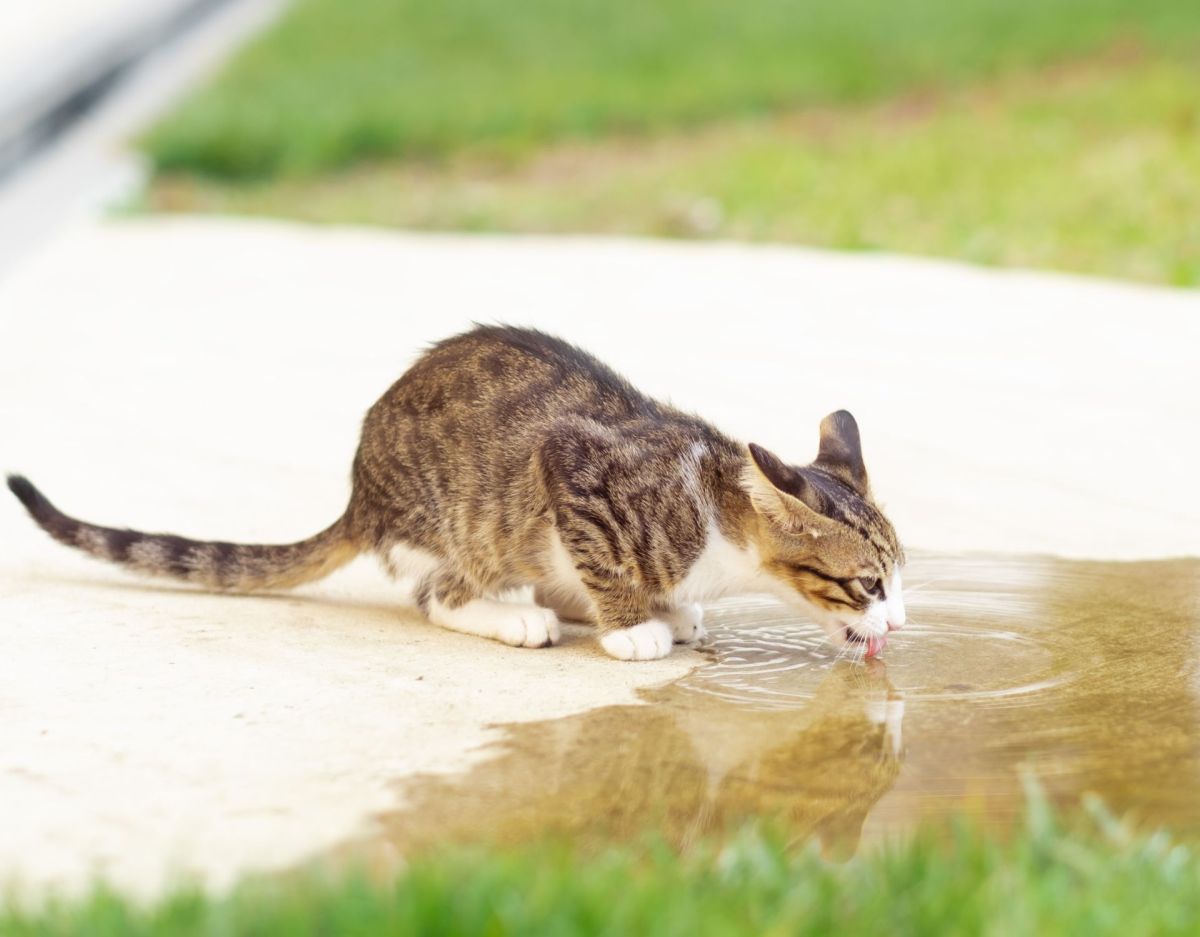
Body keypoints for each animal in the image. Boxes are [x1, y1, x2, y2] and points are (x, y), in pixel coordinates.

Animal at [4, 326, 902, 662]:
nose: (897, 623)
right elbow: (607, 558)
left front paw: (659, 610)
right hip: (471, 523)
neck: (715, 511)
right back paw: (515, 615)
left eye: (899, 580)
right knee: (439, 591)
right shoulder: (572, 468)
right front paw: (629, 627)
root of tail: (361, 494)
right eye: (868, 583)